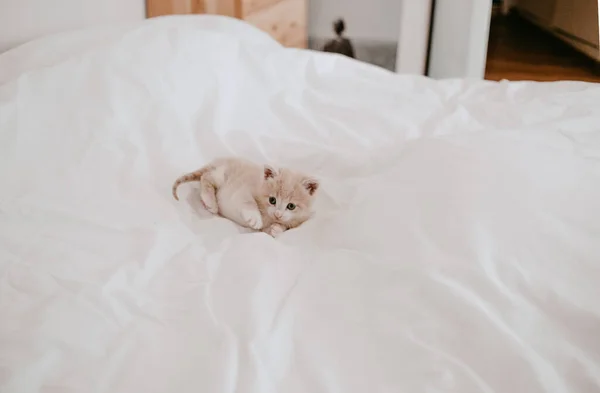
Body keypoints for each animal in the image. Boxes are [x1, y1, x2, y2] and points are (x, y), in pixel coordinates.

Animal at [172, 157, 318, 236]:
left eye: (291, 206)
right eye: (272, 200)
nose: (278, 214)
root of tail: (218, 160)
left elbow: (275, 229)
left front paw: (277, 228)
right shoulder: (242, 190)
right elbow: (248, 201)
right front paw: (255, 218)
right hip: (221, 174)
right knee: (205, 177)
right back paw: (210, 202)